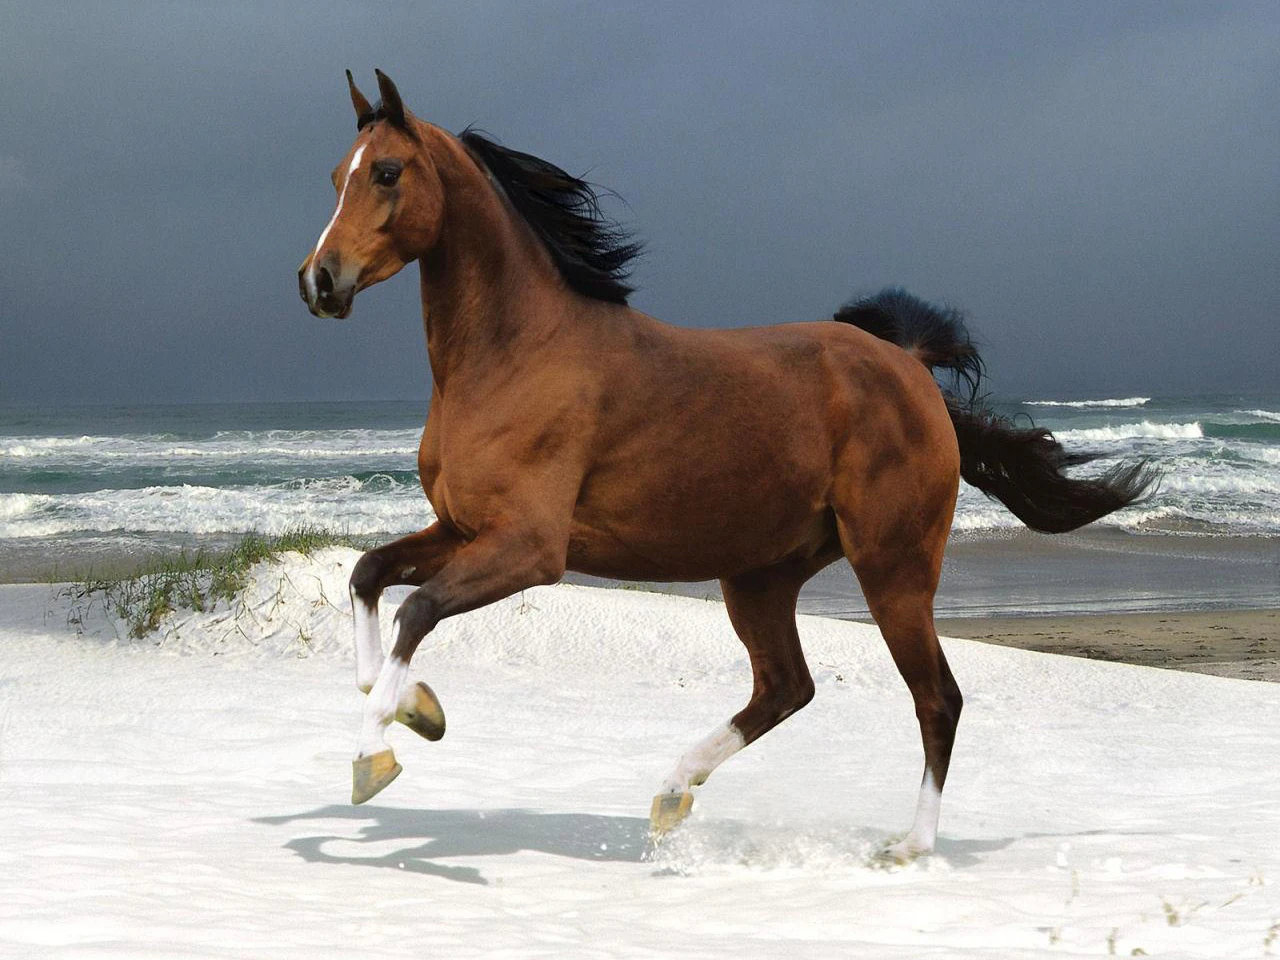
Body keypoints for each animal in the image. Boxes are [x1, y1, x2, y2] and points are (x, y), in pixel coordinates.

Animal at [297, 70, 1153, 862]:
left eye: (387, 172)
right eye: (337, 176)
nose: (319, 280)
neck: (513, 354)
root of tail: (908, 367)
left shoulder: (530, 549)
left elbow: (417, 610)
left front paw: (375, 753)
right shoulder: (462, 527)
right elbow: (370, 576)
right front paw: (414, 707)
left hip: (893, 567)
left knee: (936, 698)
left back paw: (908, 847)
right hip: (761, 576)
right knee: (787, 687)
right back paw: (672, 792)